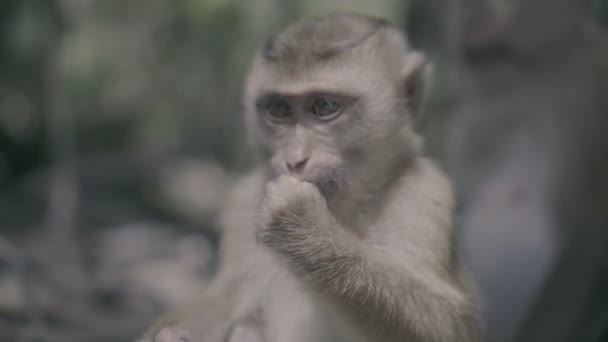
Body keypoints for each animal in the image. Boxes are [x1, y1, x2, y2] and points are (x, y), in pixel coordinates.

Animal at [138, 12, 480, 340]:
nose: (294, 160)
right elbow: (220, 302)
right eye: (279, 110)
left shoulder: (425, 192)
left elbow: (446, 324)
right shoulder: (243, 201)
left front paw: (303, 228)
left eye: (324, 106)